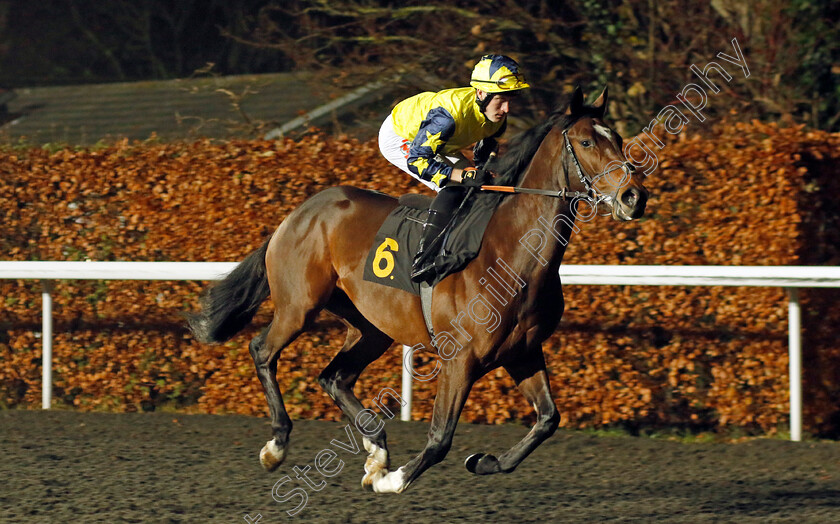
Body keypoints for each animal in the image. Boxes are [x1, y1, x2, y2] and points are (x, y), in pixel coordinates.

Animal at [189, 85, 648, 492]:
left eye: (618, 139)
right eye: (586, 141)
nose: (634, 196)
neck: (511, 253)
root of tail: (298, 213)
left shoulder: (523, 352)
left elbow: (548, 420)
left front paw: (481, 461)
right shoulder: (459, 359)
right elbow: (441, 437)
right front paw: (392, 481)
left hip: (371, 326)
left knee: (334, 376)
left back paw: (376, 450)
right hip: (299, 305)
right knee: (263, 351)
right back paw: (278, 445)